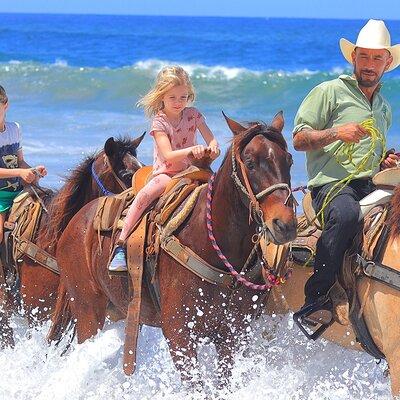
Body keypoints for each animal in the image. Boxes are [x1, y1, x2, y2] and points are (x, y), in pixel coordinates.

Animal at [47, 111, 296, 386]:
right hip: (88, 312)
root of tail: (76, 221)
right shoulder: (180, 336)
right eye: (250, 163)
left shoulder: (233, 335)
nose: (285, 225)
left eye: (290, 160)